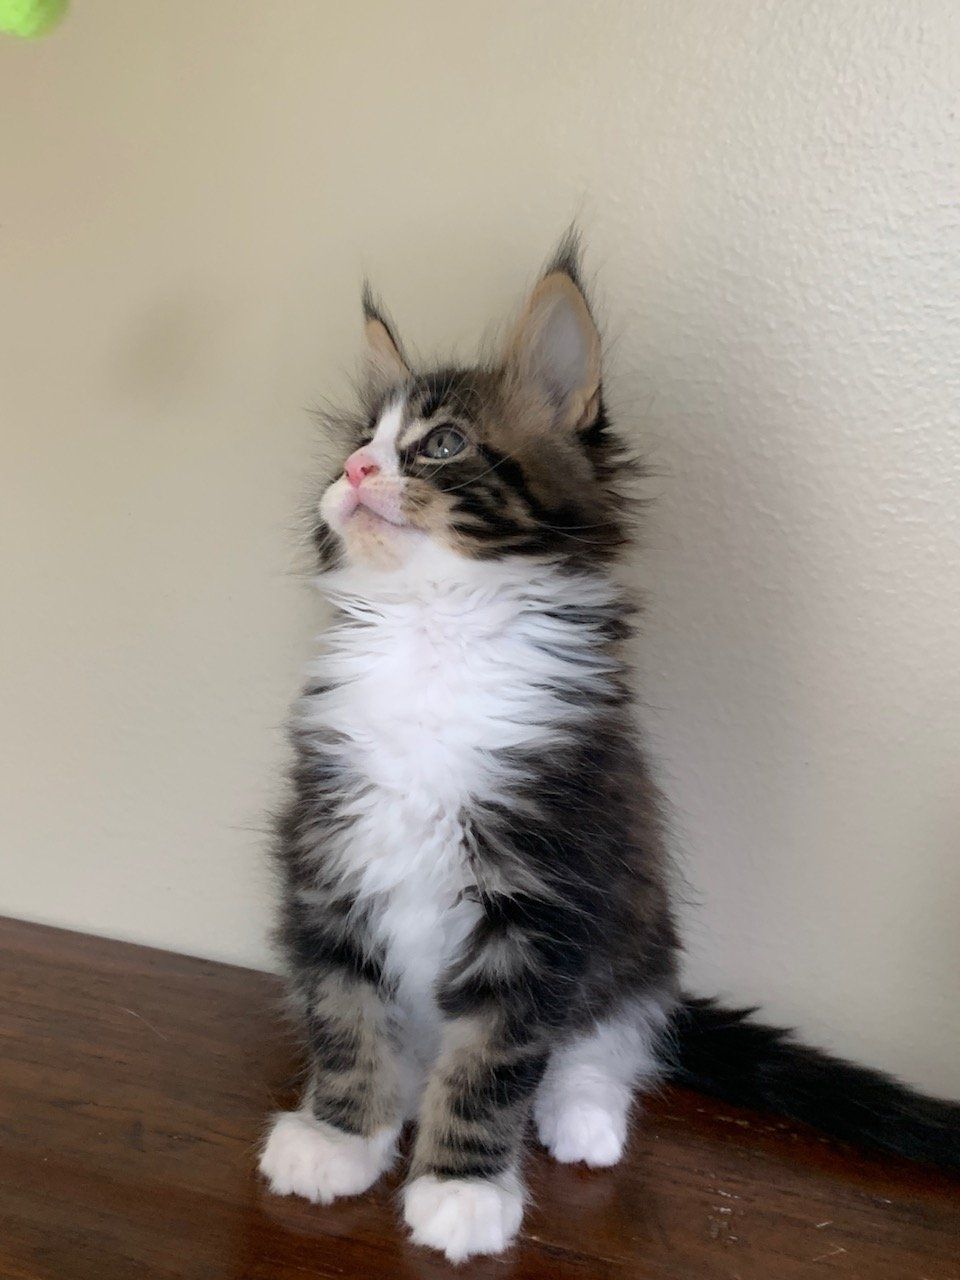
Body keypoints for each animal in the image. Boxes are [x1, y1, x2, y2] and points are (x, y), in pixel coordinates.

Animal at [259, 236, 959, 1262]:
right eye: (359, 440)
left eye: (439, 443)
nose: (350, 471)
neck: (435, 639)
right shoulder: (331, 858)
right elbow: (349, 1021)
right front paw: (342, 1136)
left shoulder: (546, 894)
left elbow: (493, 1062)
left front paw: (463, 1189)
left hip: (637, 942)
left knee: (610, 1045)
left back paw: (580, 1119)